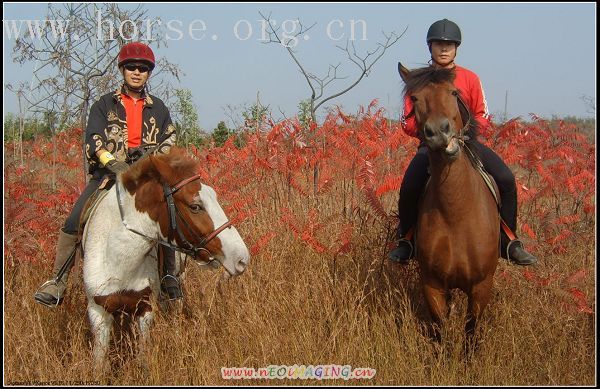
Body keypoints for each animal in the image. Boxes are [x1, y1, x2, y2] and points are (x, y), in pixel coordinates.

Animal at [79, 146, 248, 366]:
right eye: (195, 206)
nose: (242, 258)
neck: (118, 261)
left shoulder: (145, 309)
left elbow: (143, 358)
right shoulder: (98, 312)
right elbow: (99, 364)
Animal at [398, 63, 502, 348]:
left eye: (454, 93)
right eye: (414, 98)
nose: (438, 133)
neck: (456, 211)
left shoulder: (481, 286)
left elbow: (470, 332)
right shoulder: (432, 284)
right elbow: (439, 331)